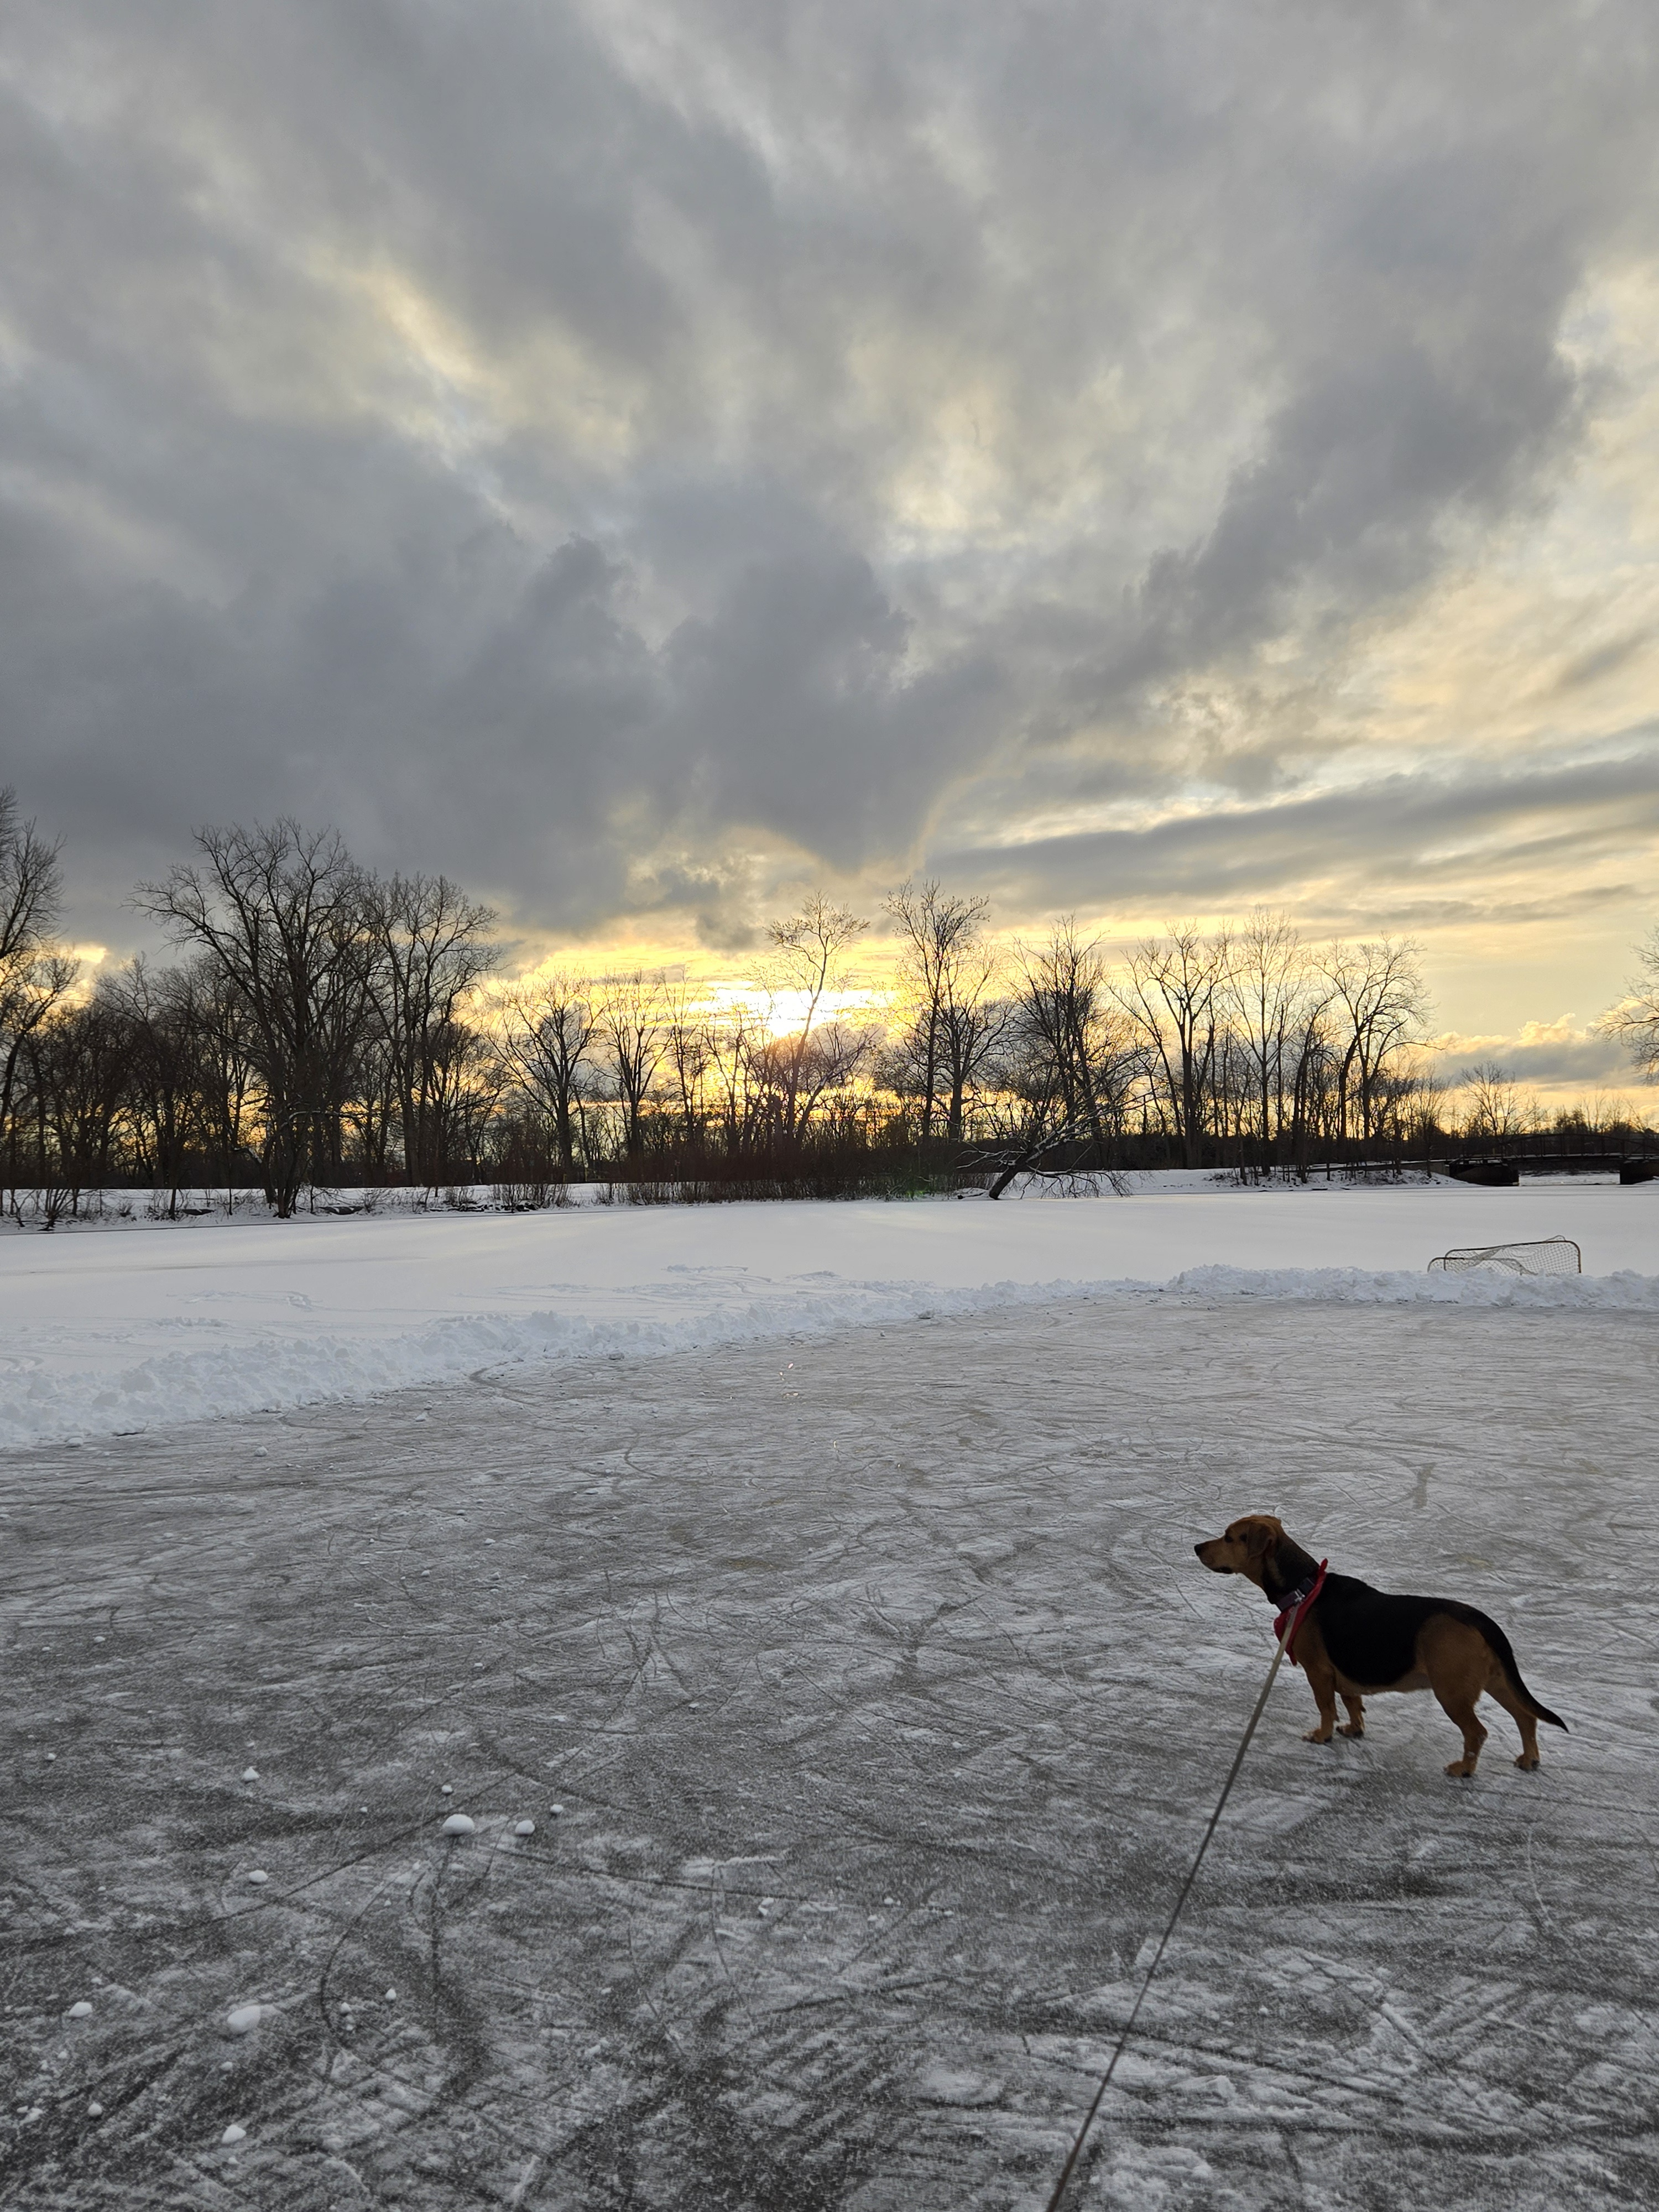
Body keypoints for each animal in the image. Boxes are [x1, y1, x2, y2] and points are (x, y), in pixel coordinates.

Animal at [1194, 1522, 1575, 1778]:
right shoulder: (1341, 1674)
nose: (1197, 1547)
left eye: (1229, 1537)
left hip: (1451, 1692)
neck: (1304, 1586)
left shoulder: (1318, 1672)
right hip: (1494, 1681)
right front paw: (1354, 1729)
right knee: (1525, 1717)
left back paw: (1464, 1768)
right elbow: (1351, 1703)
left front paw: (1322, 1736)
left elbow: (1326, 1708)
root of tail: (1479, 1618)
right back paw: (1529, 1759)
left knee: (1477, 1733)